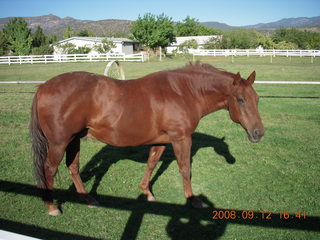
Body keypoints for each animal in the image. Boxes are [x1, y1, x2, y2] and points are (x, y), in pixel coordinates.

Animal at [30, 62, 264, 216]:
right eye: (241, 99)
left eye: (257, 98)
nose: (258, 133)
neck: (182, 91)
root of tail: (43, 88)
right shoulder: (181, 139)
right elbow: (185, 169)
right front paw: (193, 200)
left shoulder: (161, 140)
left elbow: (151, 164)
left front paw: (147, 192)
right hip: (60, 143)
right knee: (49, 169)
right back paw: (52, 206)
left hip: (74, 140)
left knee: (73, 166)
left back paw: (88, 198)